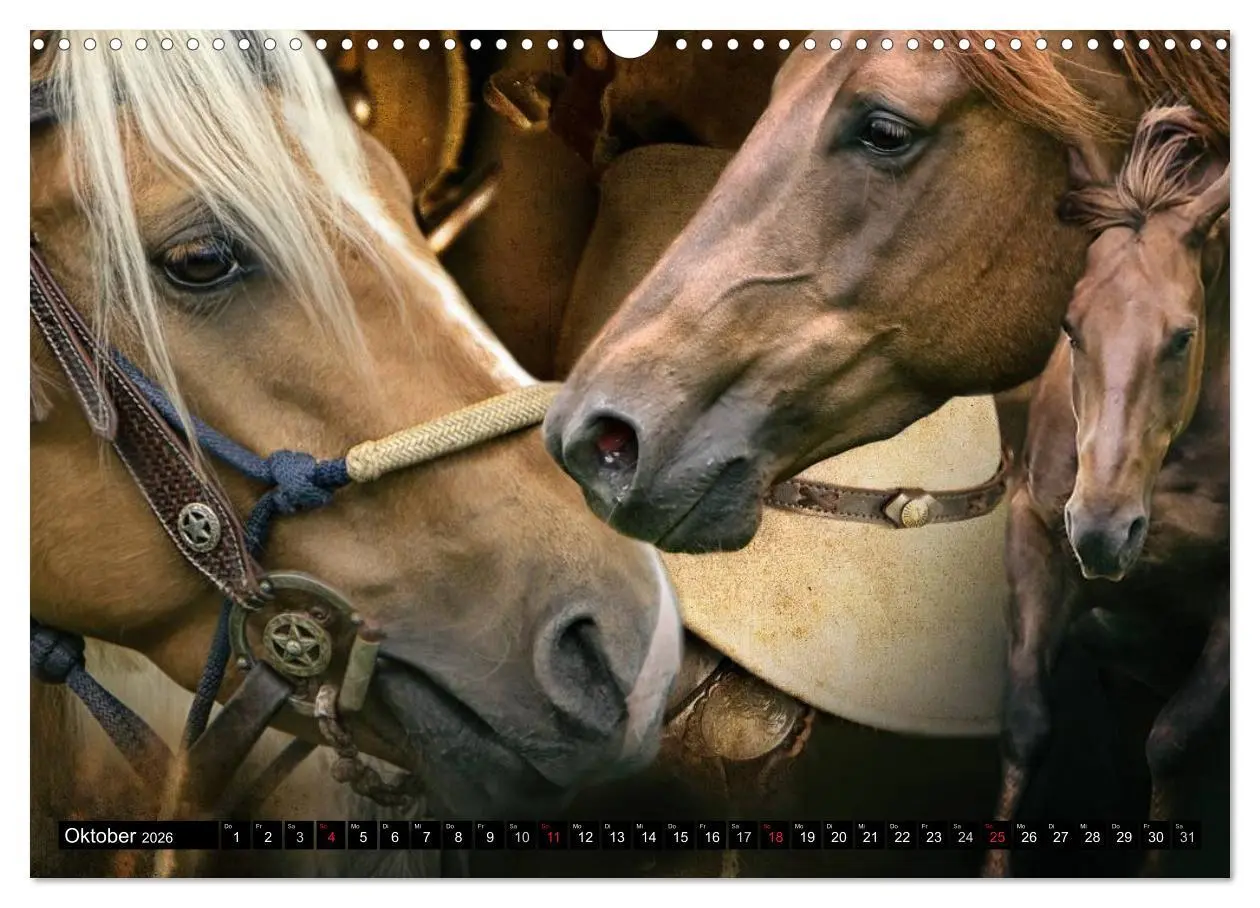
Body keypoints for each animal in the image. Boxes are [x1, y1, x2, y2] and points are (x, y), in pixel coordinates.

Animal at [986, 106, 1229, 877]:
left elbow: (1174, 741)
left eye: (1183, 335)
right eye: (1072, 326)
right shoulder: (1034, 528)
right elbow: (1027, 724)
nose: (1101, 532)